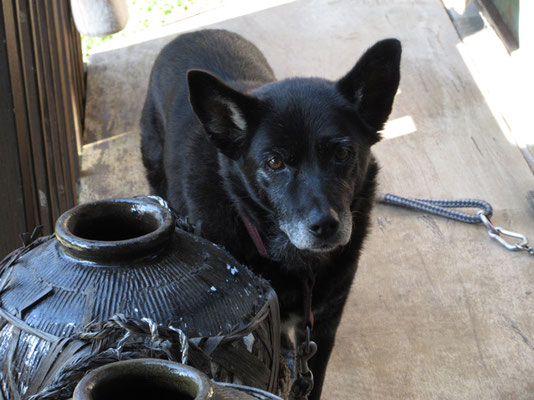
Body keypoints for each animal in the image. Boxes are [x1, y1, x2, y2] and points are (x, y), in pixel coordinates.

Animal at [142, 28, 402, 400]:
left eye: (342, 153)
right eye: (275, 162)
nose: (325, 225)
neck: (299, 265)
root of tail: (195, 32)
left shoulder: (323, 326)